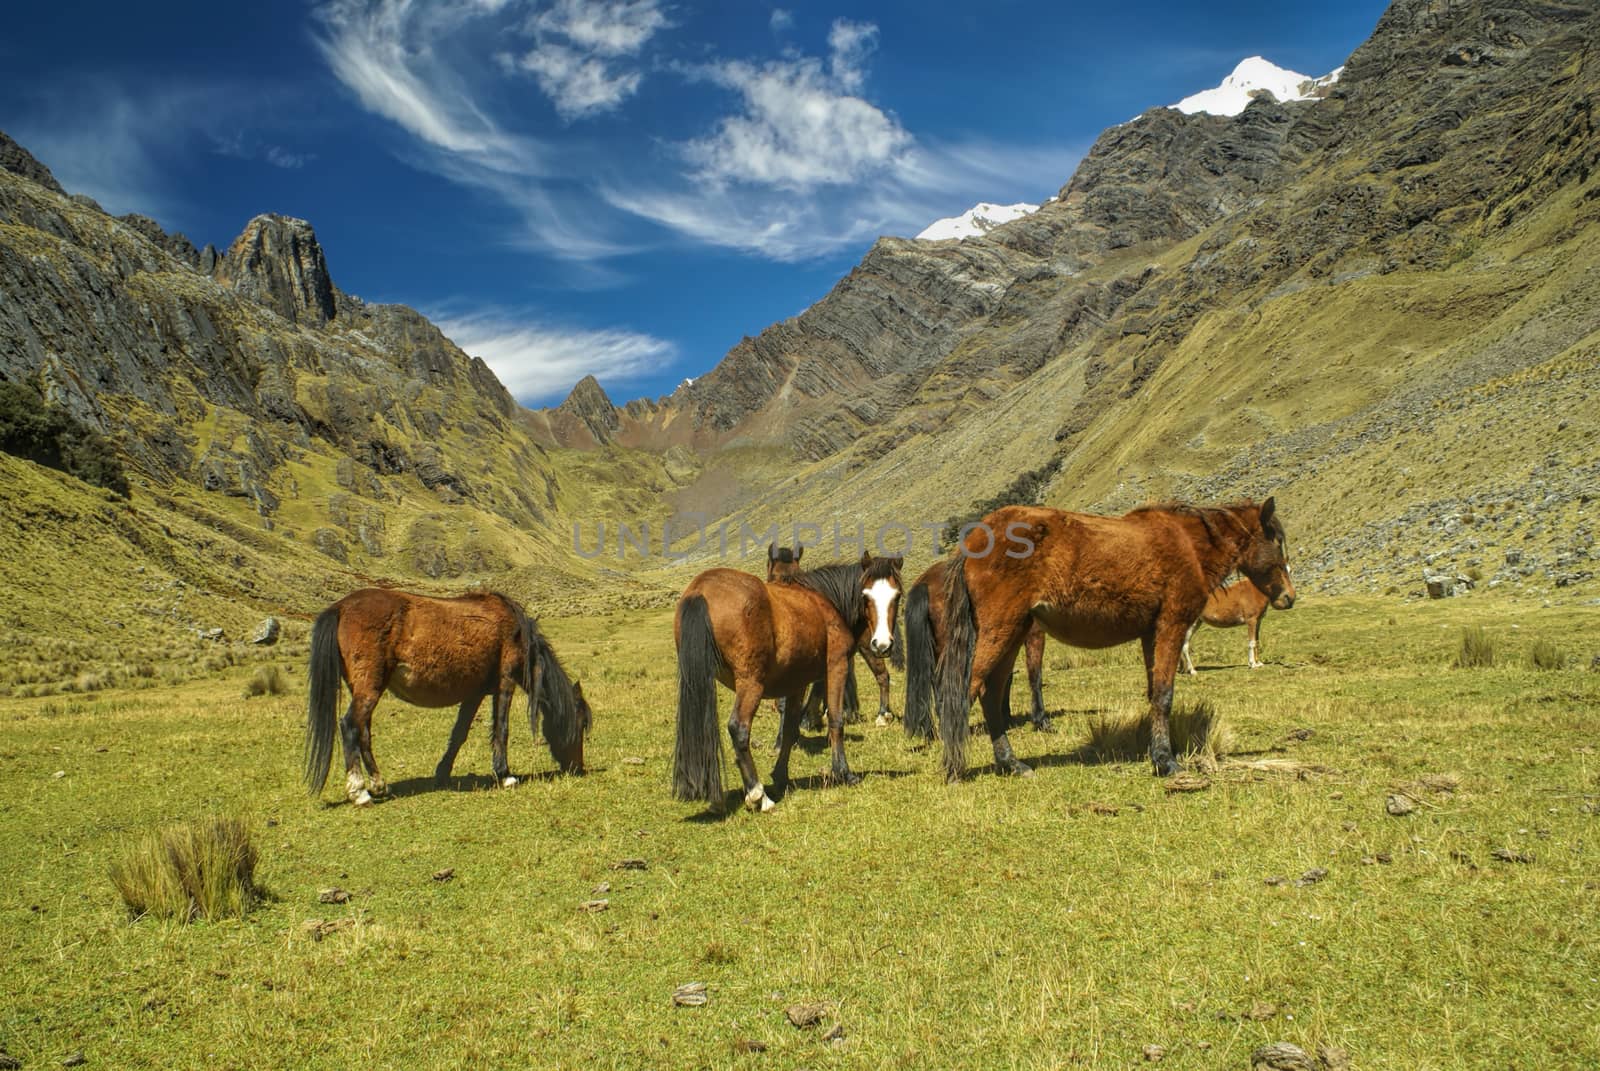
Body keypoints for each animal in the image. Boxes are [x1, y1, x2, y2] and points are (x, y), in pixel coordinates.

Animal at [305, 585, 595, 800]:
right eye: (580, 724)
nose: (577, 768)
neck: (515, 630)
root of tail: (340, 607)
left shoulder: (474, 693)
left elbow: (459, 734)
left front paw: (442, 773)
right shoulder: (505, 682)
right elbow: (501, 729)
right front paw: (505, 775)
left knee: (363, 732)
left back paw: (379, 784)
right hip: (369, 688)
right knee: (349, 726)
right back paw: (359, 791)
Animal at [902, 560, 1049, 742]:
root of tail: (925, 582)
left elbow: (1005, 679)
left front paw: (1005, 716)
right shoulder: (1035, 634)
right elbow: (1035, 676)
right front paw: (1040, 720)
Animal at [934, 496, 1292, 781]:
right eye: (1277, 541)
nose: (1288, 597)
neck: (1189, 545)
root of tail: (975, 538)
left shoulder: (1150, 634)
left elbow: (1153, 693)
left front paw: (1157, 754)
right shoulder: (1172, 626)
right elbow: (1164, 694)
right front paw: (1166, 762)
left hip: (1013, 633)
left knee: (991, 695)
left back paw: (1011, 764)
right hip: (1000, 630)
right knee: (969, 690)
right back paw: (954, 768)